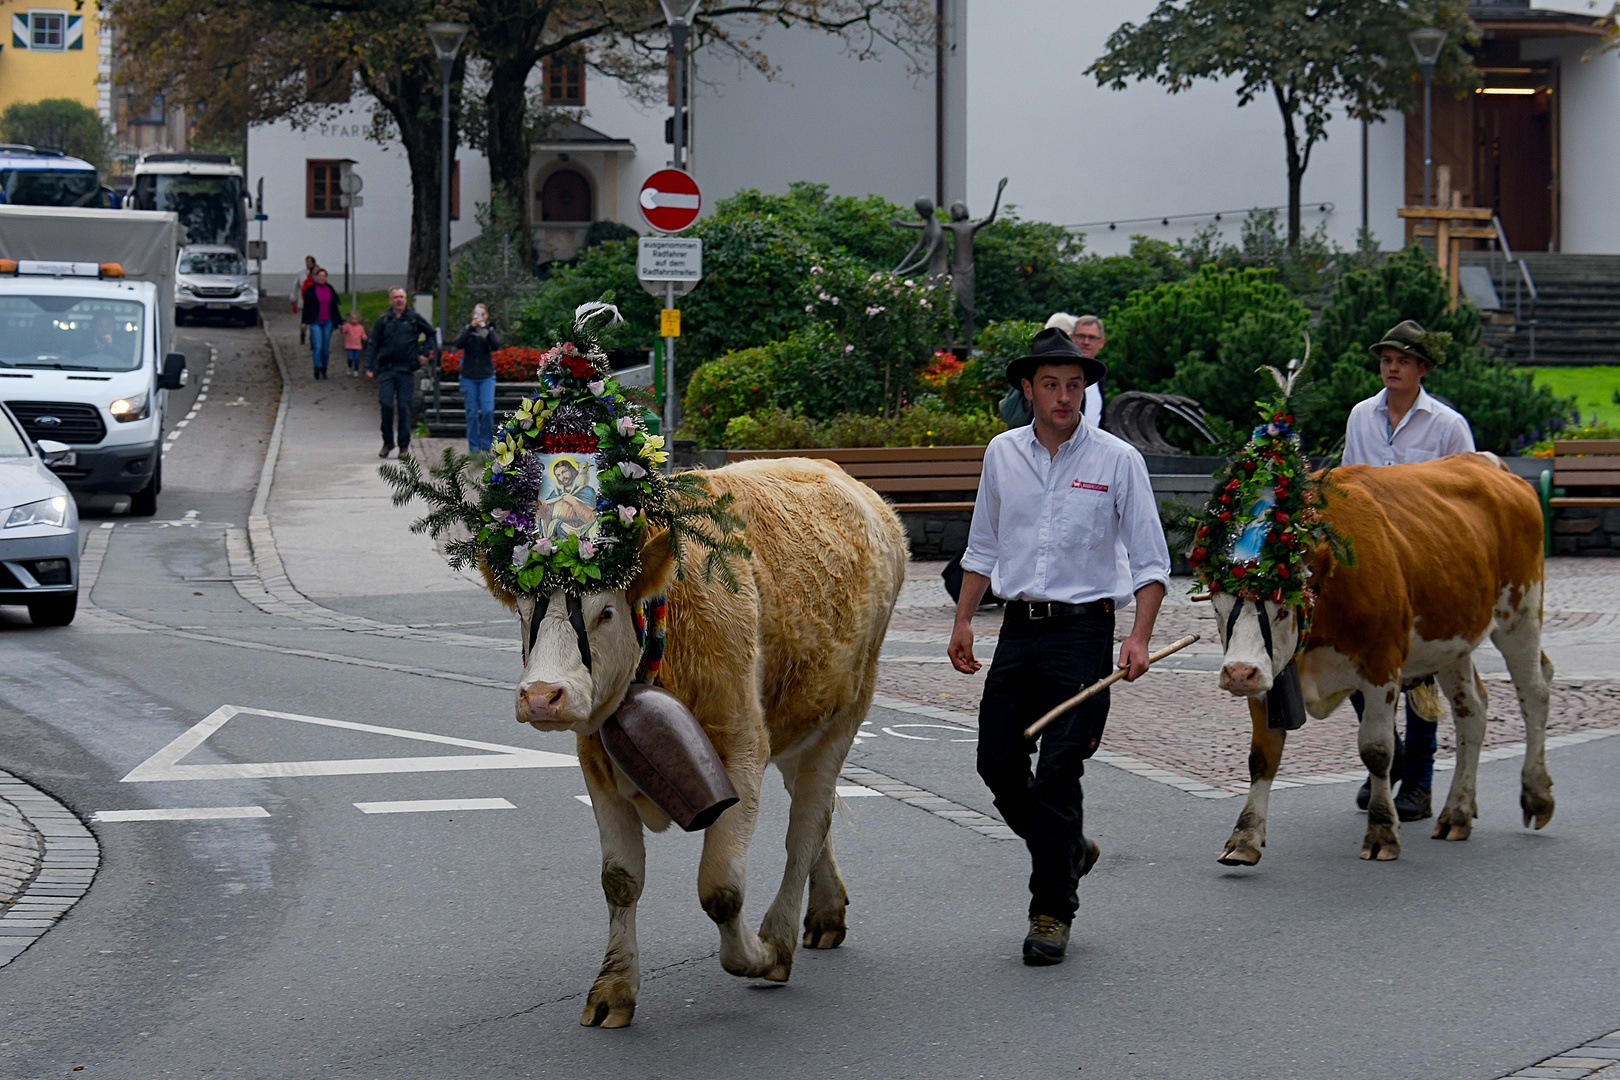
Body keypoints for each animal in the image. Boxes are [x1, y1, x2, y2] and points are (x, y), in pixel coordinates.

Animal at [502, 459, 907, 1029]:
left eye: (606, 612)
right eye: (523, 614)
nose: (541, 696)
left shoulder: (743, 748)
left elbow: (721, 889)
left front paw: (758, 955)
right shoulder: (596, 762)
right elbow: (620, 880)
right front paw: (613, 989)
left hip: (846, 711)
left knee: (806, 826)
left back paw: (781, 938)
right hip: (795, 717)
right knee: (819, 809)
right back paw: (826, 914)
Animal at [1218, 453, 1555, 867]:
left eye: (1282, 610)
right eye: (1219, 607)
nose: (1238, 674)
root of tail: (1487, 461)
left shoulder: (1382, 665)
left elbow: (1377, 751)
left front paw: (1382, 832)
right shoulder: (1271, 675)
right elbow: (1262, 755)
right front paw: (1245, 837)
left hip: (1520, 615)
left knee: (1535, 693)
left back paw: (1537, 796)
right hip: (1451, 638)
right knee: (1471, 710)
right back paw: (1457, 812)